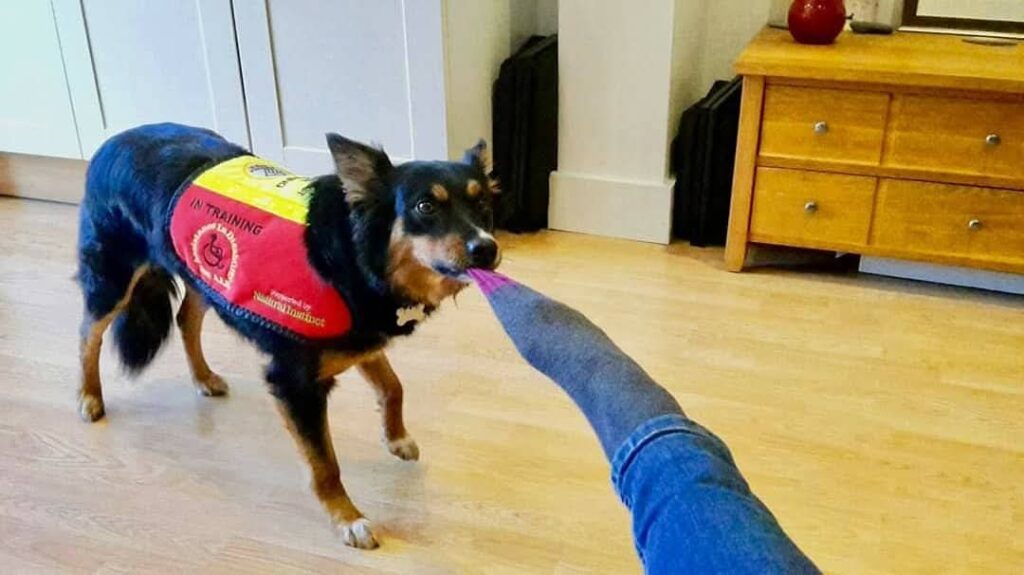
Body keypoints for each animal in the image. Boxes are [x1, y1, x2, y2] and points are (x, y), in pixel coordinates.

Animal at [75, 123, 499, 548]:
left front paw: (396, 438)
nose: (487, 248)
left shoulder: (359, 339)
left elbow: (394, 387)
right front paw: (348, 518)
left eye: (481, 204)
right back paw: (89, 397)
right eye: (425, 207)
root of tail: (113, 140)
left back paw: (203, 377)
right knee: (88, 336)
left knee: (186, 318)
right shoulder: (295, 382)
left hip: (201, 273)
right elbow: (325, 464)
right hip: (113, 278)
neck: (352, 252)